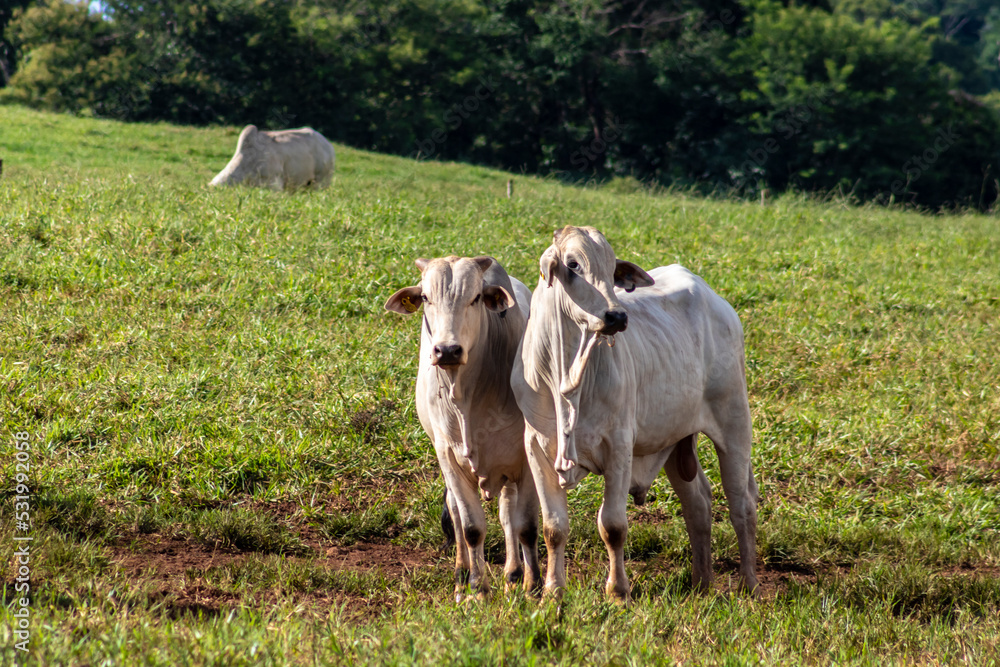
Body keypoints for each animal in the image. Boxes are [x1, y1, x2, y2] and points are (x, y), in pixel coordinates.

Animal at [386, 255, 540, 600]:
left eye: (476, 297)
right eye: (425, 297)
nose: (447, 351)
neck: (467, 398)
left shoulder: (526, 458)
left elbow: (524, 526)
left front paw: (532, 587)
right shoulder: (449, 457)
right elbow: (471, 528)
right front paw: (476, 589)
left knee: (507, 515)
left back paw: (513, 573)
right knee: (457, 514)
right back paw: (461, 573)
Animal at [511, 226, 758, 602]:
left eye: (612, 268)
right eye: (573, 265)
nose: (616, 316)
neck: (565, 374)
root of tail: (716, 300)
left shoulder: (618, 445)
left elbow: (612, 526)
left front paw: (618, 591)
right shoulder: (537, 447)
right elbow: (554, 527)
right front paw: (553, 591)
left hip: (734, 422)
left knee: (740, 504)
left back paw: (750, 583)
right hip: (676, 440)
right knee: (698, 504)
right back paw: (701, 582)